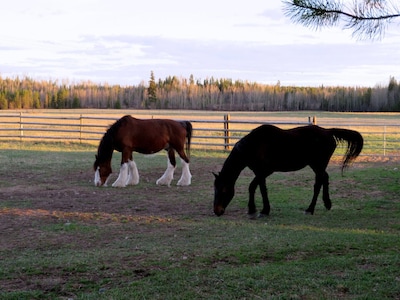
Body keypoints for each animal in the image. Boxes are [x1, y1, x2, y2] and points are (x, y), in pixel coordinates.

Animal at [214, 125, 364, 218]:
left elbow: (255, 187)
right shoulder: (261, 172)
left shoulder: (264, 171)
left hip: (318, 165)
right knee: (325, 179)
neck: (253, 145)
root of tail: (328, 131)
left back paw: (310, 209)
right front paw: (258, 210)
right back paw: (327, 203)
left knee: (318, 184)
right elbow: (258, 188)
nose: (217, 211)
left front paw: (258, 210)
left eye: (224, 191)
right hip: (317, 166)